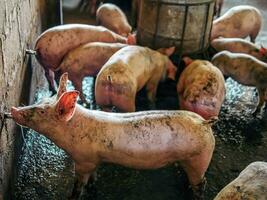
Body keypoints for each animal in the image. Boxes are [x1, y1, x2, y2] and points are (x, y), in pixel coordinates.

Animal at [11, 72, 218, 199]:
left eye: (42, 111)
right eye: (42, 101)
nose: (13, 109)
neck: (72, 131)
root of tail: (205, 123)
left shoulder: (83, 160)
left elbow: (78, 185)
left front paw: (73, 195)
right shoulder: (93, 160)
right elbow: (93, 177)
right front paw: (93, 185)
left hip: (199, 158)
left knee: (201, 182)